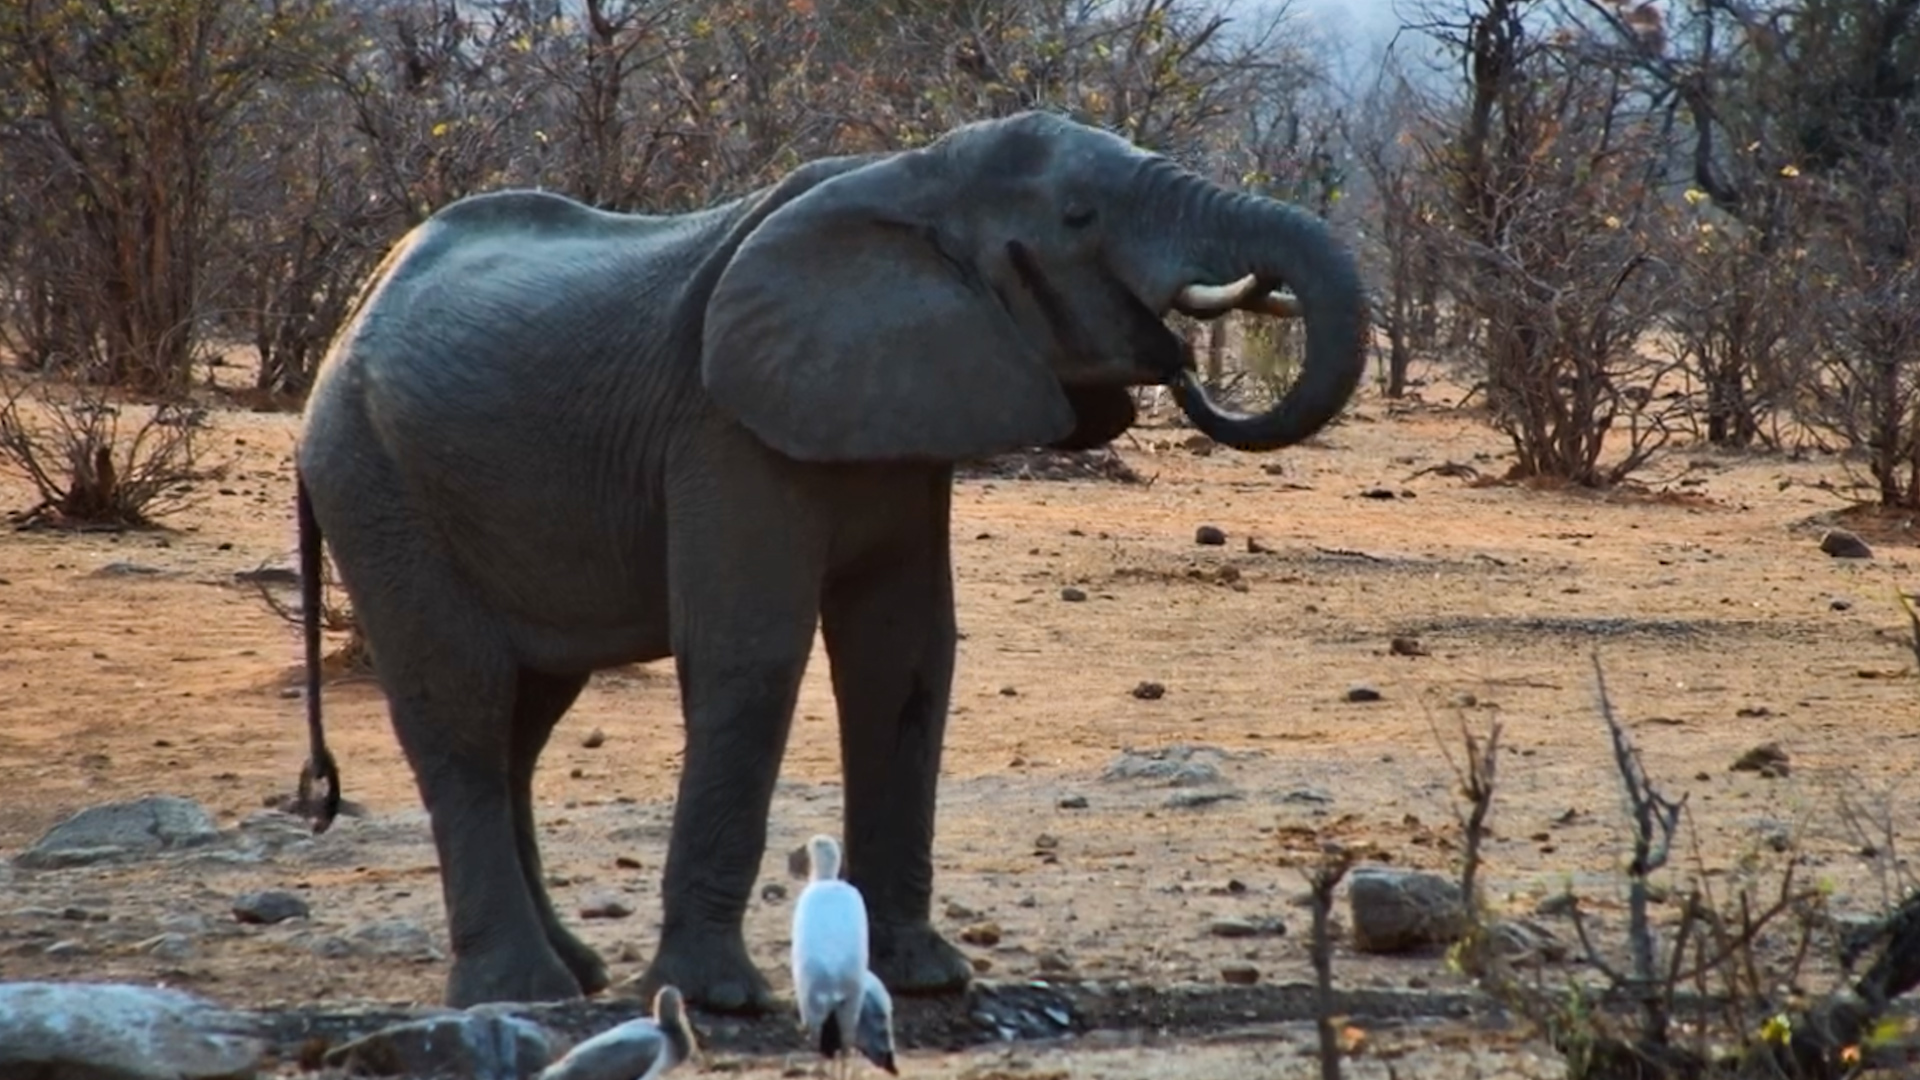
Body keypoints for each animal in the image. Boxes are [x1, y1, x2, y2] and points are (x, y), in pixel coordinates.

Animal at [289, 110, 1369, 1014]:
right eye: (1078, 216)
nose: (1186, 368)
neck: (916, 176)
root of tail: (347, 328)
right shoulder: (724, 429)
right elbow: (752, 655)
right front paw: (722, 1001)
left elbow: (907, 657)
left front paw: (929, 980)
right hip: (375, 478)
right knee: (461, 705)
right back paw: (523, 992)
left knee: (527, 715)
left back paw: (577, 973)